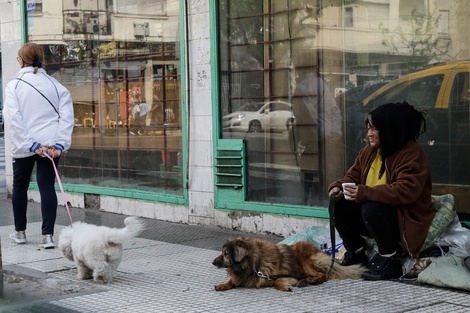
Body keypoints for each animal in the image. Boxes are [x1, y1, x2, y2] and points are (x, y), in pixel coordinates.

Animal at [211, 236, 366, 290]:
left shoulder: (282, 274)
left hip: (304, 258)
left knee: (323, 274)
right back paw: (305, 281)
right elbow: (232, 281)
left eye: (226, 254)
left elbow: (277, 281)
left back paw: (311, 280)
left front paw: (285, 286)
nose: (213, 262)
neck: (252, 263)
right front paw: (223, 285)